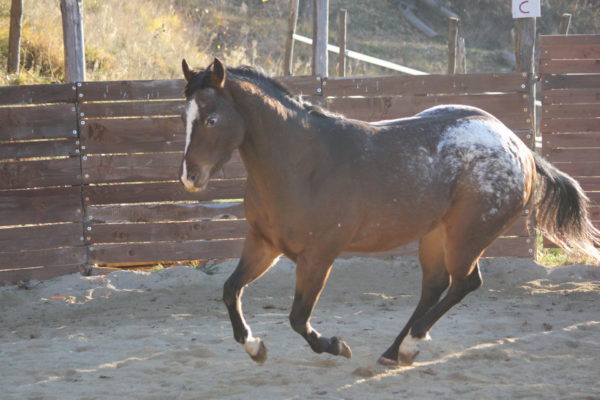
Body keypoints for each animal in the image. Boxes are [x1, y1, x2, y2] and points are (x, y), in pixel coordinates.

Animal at [179, 57, 600, 368]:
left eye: (211, 119)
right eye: (184, 117)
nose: (189, 177)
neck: (303, 165)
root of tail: (520, 147)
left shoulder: (318, 257)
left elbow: (298, 318)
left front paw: (336, 345)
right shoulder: (263, 245)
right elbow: (230, 290)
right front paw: (255, 347)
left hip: (466, 237)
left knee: (464, 283)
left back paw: (410, 346)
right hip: (434, 236)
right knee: (434, 287)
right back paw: (392, 351)